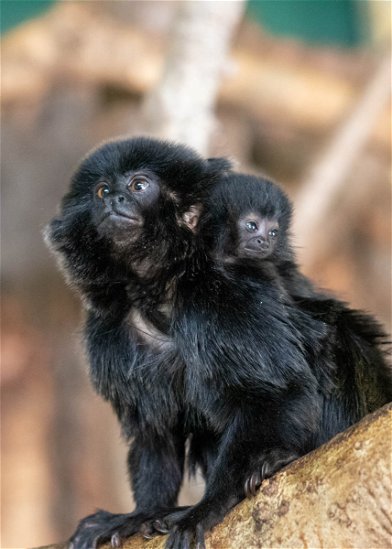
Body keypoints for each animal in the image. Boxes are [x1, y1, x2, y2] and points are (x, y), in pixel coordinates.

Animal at [45, 135, 233, 544]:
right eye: (101, 191)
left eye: (138, 186)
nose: (114, 199)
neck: (158, 293)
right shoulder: (108, 331)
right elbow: (153, 428)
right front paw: (144, 513)